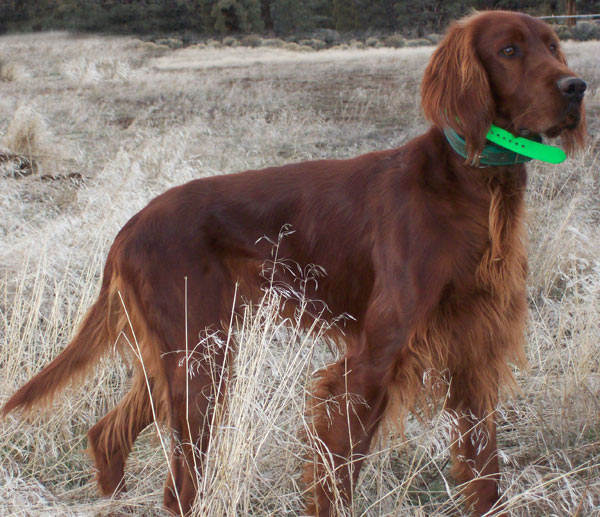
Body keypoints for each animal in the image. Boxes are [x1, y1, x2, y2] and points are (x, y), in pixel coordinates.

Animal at [3, 9, 584, 516]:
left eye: (553, 46)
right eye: (508, 50)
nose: (576, 87)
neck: (470, 182)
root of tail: (129, 228)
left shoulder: (474, 357)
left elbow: (487, 478)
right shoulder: (369, 363)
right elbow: (336, 480)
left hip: (182, 354)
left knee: (107, 435)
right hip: (201, 361)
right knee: (178, 487)